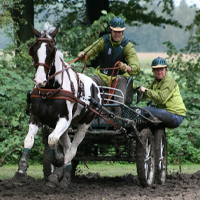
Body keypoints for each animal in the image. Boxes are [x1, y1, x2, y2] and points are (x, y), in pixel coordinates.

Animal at [15, 23, 101, 188]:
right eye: (34, 49)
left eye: (52, 51)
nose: (40, 80)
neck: (49, 91)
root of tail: (95, 85)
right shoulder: (36, 117)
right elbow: (29, 140)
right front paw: (21, 171)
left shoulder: (64, 119)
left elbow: (52, 139)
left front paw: (57, 162)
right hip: (66, 127)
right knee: (67, 146)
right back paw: (61, 175)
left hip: (84, 123)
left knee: (72, 150)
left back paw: (62, 176)